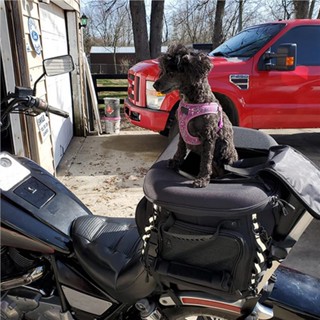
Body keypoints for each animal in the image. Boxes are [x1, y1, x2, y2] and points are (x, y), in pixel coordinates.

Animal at [152, 43, 238, 188]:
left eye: (171, 72)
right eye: (163, 71)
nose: (154, 85)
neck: (192, 102)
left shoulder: (209, 136)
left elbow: (206, 160)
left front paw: (202, 179)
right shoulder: (181, 133)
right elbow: (180, 149)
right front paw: (175, 162)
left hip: (225, 150)